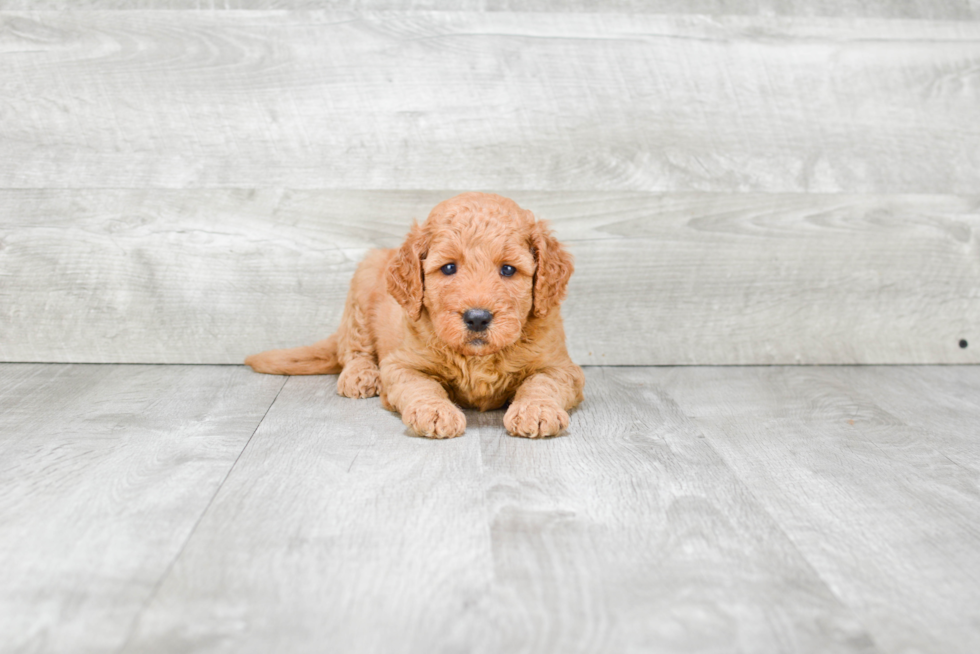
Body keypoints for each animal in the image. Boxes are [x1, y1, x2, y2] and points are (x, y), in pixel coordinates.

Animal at [244, 193, 580, 440]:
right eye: (448, 268)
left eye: (509, 269)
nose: (477, 318)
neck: (476, 358)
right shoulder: (401, 364)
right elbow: (422, 386)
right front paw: (436, 412)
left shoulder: (562, 367)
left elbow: (541, 383)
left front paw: (537, 410)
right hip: (361, 287)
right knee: (352, 348)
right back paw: (360, 375)